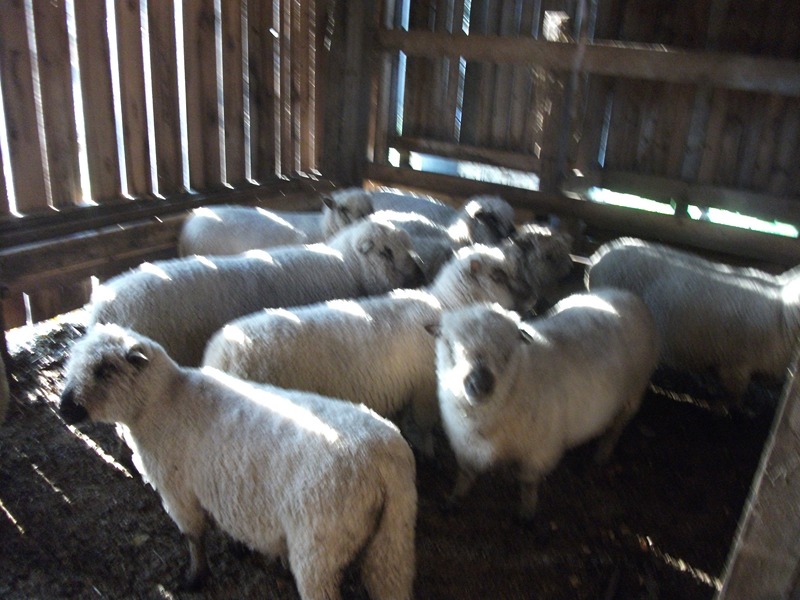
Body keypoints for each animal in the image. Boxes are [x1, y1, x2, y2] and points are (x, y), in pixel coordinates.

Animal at [58, 323, 417, 600]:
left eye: (105, 369)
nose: (65, 409)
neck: (162, 403)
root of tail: (385, 461)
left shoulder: (178, 491)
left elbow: (194, 537)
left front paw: (195, 578)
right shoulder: (227, 488)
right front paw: (236, 548)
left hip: (319, 545)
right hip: (394, 537)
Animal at [202, 245, 533, 457]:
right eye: (499, 275)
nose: (532, 297)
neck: (445, 307)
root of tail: (220, 356)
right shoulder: (426, 390)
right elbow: (424, 427)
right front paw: (428, 450)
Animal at [428, 290, 659, 520]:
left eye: (506, 353)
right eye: (450, 346)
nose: (480, 385)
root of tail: (625, 294)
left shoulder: (540, 452)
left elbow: (528, 483)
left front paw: (527, 514)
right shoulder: (464, 444)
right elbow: (465, 474)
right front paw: (454, 498)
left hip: (633, 396)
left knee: (615, 429)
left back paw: (601, 455)